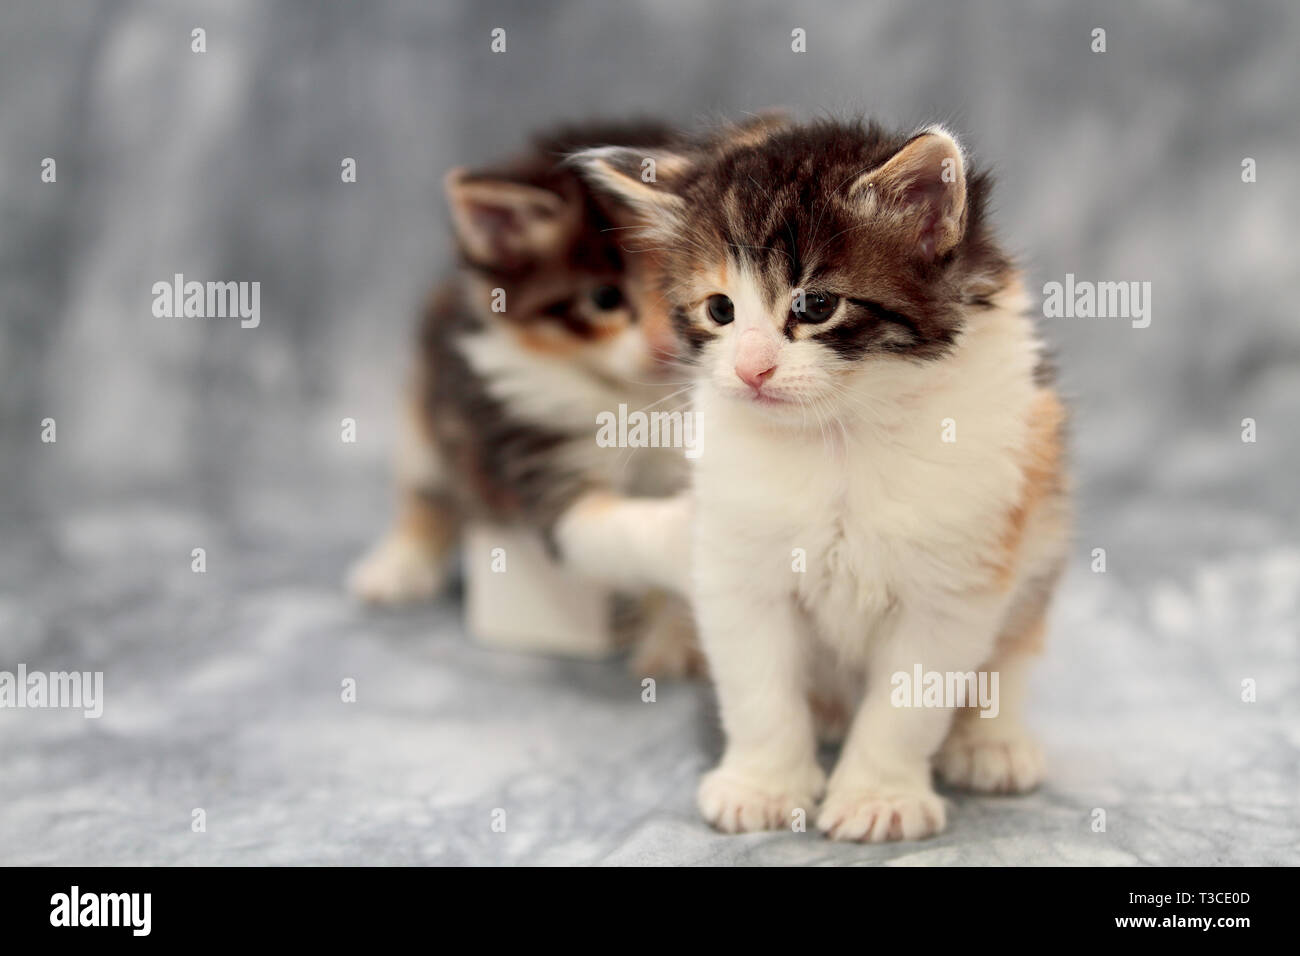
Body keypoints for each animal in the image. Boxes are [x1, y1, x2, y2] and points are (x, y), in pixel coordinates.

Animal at [577, 121, 1066, 842]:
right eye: (720, 310)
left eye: (815, 305)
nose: (750, 370)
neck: (840, 434)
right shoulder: (735, 564)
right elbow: (758, 688)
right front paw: (763, 786)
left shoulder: (958, 577)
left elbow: (907, 703)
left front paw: (878, 797)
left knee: (1014, 650)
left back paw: (990, 743)